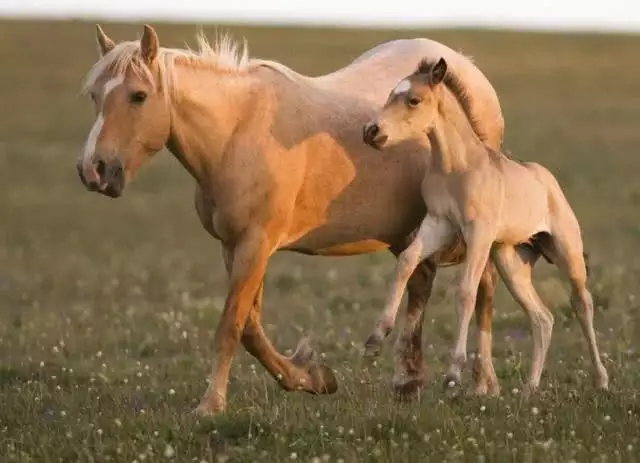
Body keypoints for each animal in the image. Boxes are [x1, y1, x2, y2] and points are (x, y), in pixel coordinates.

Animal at [79, 24, 504, 416]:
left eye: (138, 95)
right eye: (94, 95)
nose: (92, 171)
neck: (236, 132)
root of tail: (465, 68)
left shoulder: (256, 244)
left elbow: (231, 326)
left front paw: (211, 404)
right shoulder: (235, 246)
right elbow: (250, 328)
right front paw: (312, 377)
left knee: (482, 288)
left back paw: (483, 384)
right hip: (407, 230)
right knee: (420, 282)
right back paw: (408, 383)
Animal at [362, 56, 608, 394]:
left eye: (414, 100)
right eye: (389, 96)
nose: (371, 131)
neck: (457, 166)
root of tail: (548, 180)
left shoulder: (477, 232)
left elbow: (466, 290)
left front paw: (454, 372)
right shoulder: (438, 223)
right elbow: (406, 262)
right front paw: (375, 339)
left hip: (566, 251)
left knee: (582, 303)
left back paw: (601, 380)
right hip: (510, 261)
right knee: (542, 318)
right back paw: (529, 388)